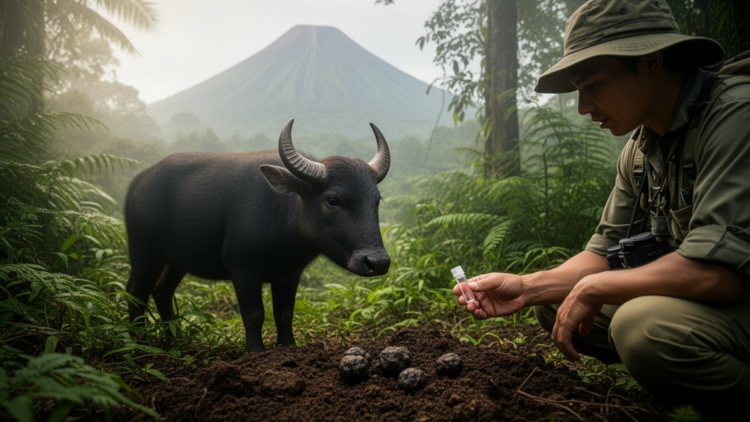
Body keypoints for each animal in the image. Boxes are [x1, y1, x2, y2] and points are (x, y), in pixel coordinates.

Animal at [125, 119, 391, 352]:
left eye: (377, 200)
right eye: (333, 200)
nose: (378, 262)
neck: (285, 226)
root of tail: (137, 182)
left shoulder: (289, 274)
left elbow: (284, 313)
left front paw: (288, 346)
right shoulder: (243, 269)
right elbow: (254, 314)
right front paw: (254, 351)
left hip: (176, 260)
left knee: (162, 291)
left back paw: (176, 338)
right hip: (144, 252)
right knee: (135, 291)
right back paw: (138, 340)